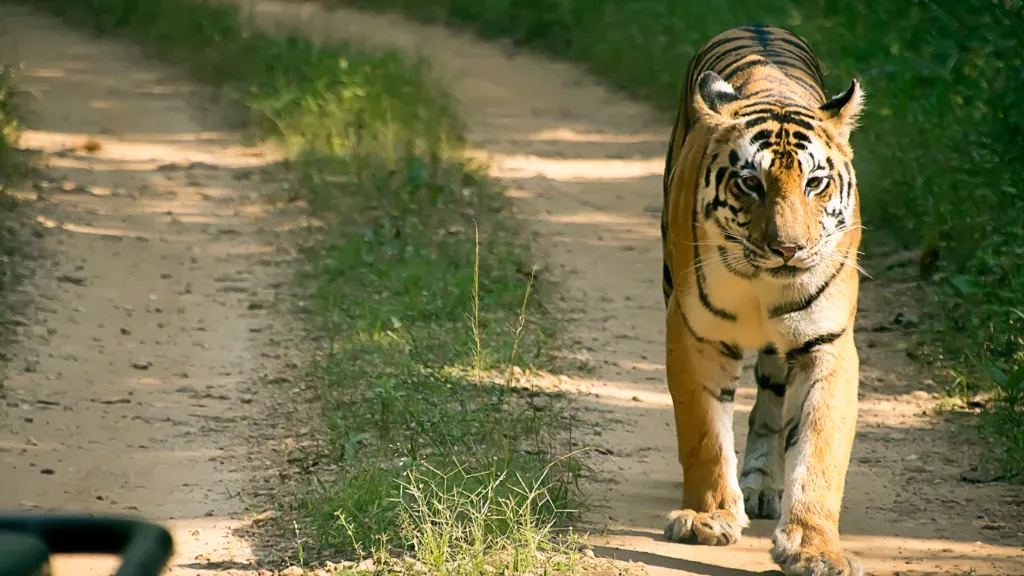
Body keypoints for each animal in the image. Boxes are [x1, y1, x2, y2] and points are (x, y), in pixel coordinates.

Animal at [659, 23, 868, 573]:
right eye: (750, 183)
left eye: (816, 182)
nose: (787, 249)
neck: (761, 280)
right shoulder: (693, 332)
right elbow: (704, 433)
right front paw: (707, 519)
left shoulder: (828, 344)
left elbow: (819, 453)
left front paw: (814, 547)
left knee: (772, 405)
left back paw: (761, 484)